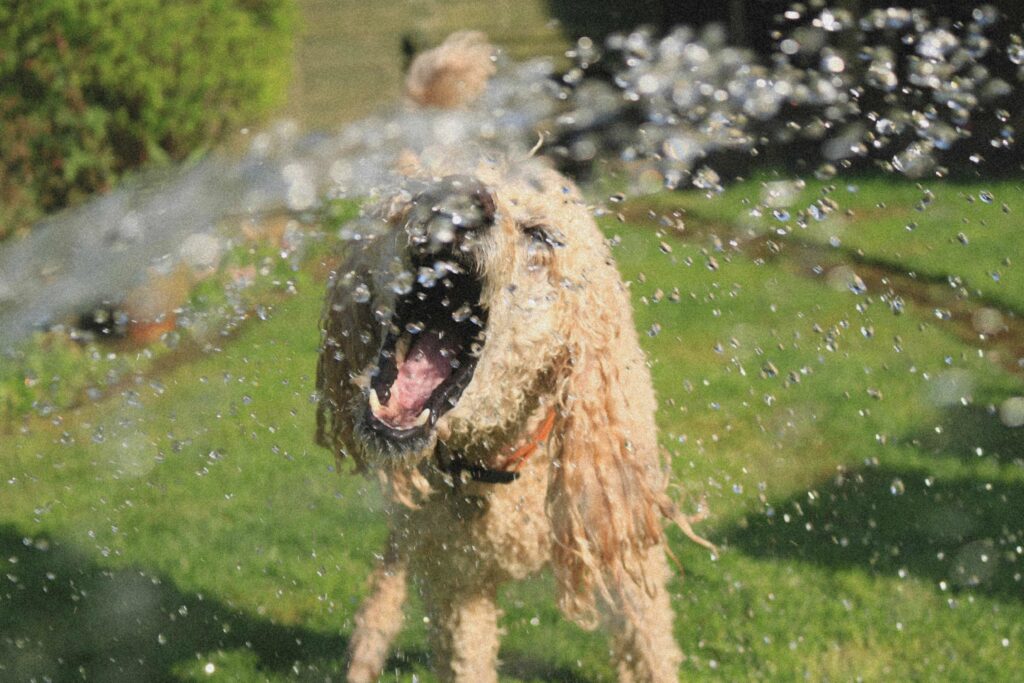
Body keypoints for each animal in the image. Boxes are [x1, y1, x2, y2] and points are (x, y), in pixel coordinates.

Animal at [313, 33, 712, 683]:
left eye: (541, 236)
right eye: (407, 202)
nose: (457, 199)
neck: (500, 458)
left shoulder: (628, 553)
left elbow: (650, 649)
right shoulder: (456, 585)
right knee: (390, 572)